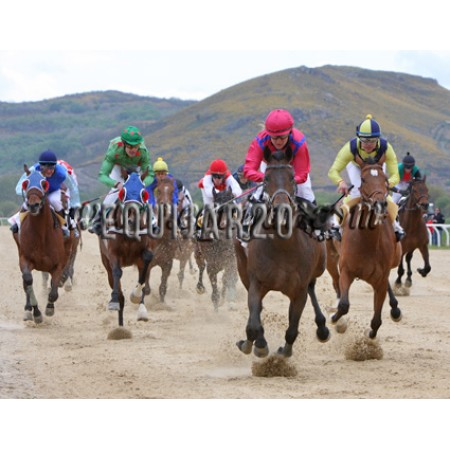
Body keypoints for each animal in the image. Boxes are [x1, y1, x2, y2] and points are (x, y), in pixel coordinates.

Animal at [15, 169, 74, 323]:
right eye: (26, 182)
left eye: (44, 183)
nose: (33, 205)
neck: (41, 234)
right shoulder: (25, 259)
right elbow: (28, 281)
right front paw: (36, 312)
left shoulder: (59, 263)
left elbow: (54, 290)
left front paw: (49, 308)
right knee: (26, 283)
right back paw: (27, 310)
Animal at [98, 170, 154, 327]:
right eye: (123, 192)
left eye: (144, 193)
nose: (132, 221)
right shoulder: (113, 254)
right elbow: (117, 272)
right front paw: (114, 301)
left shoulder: (146, 250)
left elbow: (147, 261)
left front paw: (136, 297)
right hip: (106, 263)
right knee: (117, 286)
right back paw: (120, 323)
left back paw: (141, 310)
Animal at [235, 148, 330, 358]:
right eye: (266, 178)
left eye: (292, 177)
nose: (281, 209)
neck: (282, 246)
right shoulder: (256, 282)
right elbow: (254, 322)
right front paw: (256, 344)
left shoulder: (299, 291)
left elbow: (293, 328)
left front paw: (284, 351)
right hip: (243, 269)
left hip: (319, 268)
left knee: (312, 287)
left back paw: (322, 328)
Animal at [327, 158, 402, 339]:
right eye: (363, 179)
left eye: (385, 179)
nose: (381, 204)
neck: (367, 242)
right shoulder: (346, 270)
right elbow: (344, 305)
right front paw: (335, 319)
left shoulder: (380, 278)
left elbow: (377, 320)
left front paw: (370, 338)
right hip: (330, 259)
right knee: (335, 282)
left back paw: (395, 309)